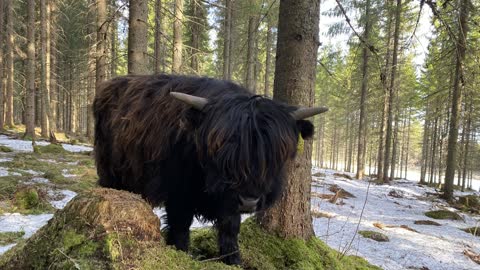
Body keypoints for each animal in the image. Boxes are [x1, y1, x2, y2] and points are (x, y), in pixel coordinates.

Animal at [92, 74, 328, 266]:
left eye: (276, 154)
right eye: (220, 149)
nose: (249, 201)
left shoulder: (229, 201)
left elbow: (230, 228)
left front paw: (233, 259)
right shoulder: (178, 192)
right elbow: (180, 225)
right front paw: (181, 253)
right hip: (109, 170)